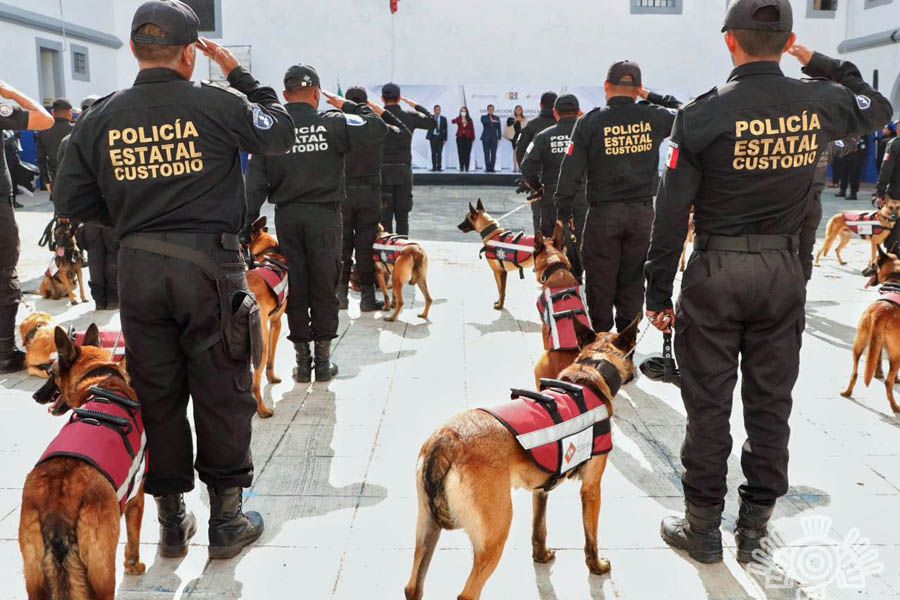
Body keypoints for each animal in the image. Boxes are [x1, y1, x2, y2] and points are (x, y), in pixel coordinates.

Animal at [21, 326, 146, 596]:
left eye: (51, 373)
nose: (35, 395)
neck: (101, 380)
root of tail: (56, 507)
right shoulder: (136, 498)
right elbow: (133, 537)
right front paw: (133, 565)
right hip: (102, 572)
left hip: (35, 580)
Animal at [404, 316, 644, 596]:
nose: (638, 372)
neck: (591, 370)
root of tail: (447, 440)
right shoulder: (592, 489)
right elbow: (590, 538)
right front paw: (596, 566)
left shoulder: (540, 490)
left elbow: (539, 529)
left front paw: (541, 556)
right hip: (494, 535)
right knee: (467, 593)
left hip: (426, 528)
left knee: (413, 586)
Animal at [840, 246, 900, 414]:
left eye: (872, 264)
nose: (862, 271)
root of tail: (881, 311)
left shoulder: (877, 342)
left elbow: (877, 359)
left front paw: (878, 373)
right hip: (896, 354)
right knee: (888, 382)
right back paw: (895, 407)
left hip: (858, 345)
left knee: (854, 372)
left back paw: (847, 392)